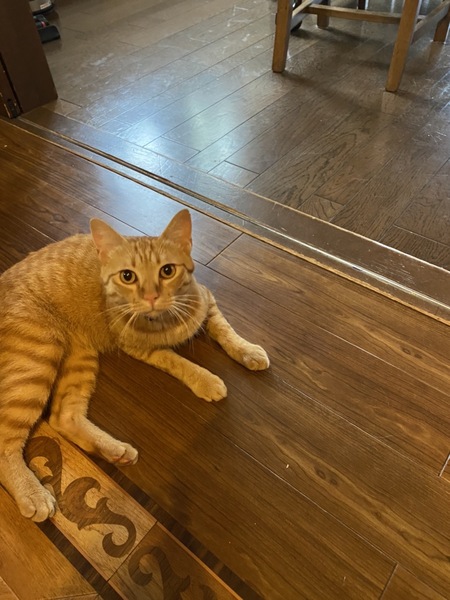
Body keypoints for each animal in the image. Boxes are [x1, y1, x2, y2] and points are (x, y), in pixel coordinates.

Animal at [0, 209, 269, 522]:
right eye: (127, 276)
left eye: (167, 271)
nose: (151, 297)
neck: (166, 319)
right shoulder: (140, 349)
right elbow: (178, 361)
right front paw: (206, 379)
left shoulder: (207, 300)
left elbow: (225, 330)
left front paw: (247, 350)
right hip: (37, 360)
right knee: (6, 441)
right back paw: (32, 493)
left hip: (79, 358)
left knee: (63, 416)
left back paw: (114, 450)